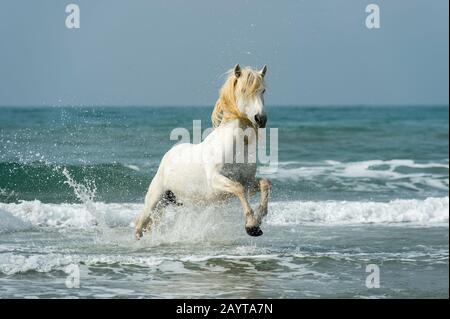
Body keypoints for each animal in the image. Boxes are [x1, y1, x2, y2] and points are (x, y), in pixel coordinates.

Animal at [134, 65, 270, 240]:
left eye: (263, 90)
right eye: (244, 90)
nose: (261, 119)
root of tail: (169, 154)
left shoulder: (248, 182)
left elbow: (264, 183)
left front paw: (257, 222)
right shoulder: (217, 181)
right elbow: (238, 188)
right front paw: (251, 226)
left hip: (170, 200)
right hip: (154, 199)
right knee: (139, 225)